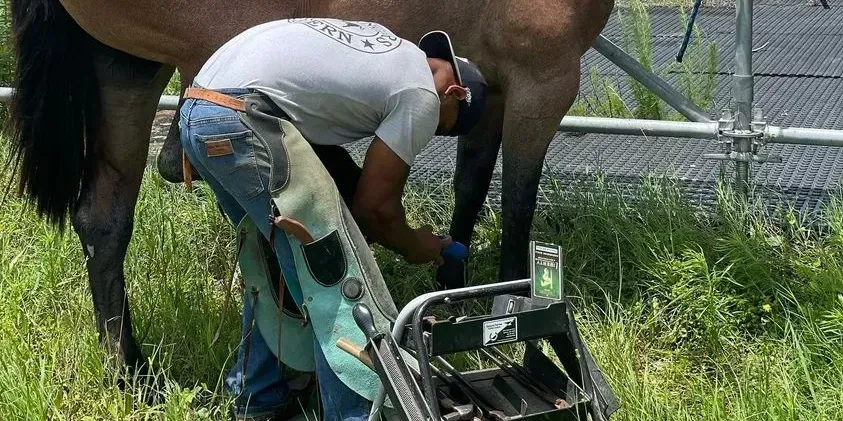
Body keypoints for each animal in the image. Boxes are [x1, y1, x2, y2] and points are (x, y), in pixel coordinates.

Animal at [6, 0, 614, 376]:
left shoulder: (495, 91)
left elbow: (471, 187)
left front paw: (453, 286)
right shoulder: (543, 81)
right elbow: (517, 211)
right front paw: (525, 321)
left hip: (125, 66)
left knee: (104, 218)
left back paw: (130, 371)